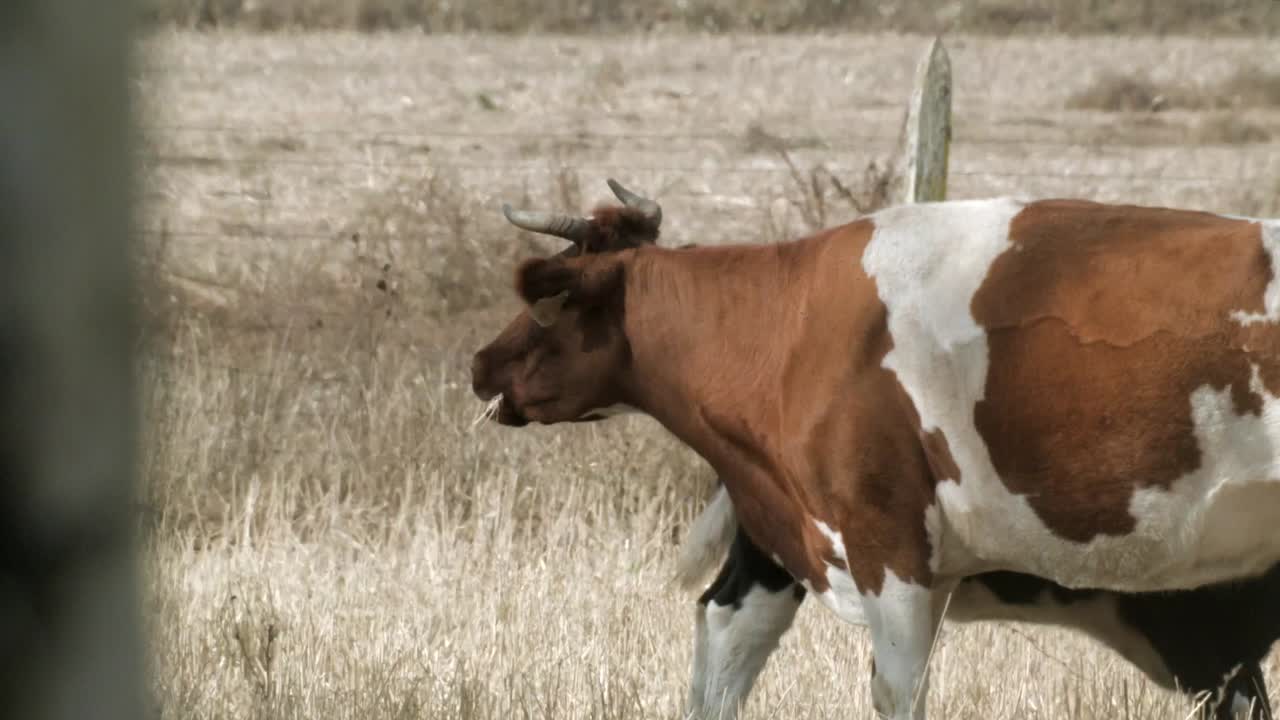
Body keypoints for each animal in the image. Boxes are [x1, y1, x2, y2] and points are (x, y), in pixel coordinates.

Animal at [469, 180, 1280, 719]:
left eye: (545, 306)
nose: (479, 363)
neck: (792, 327)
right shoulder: (796, 546)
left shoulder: (889, 550)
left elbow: (896, 694)